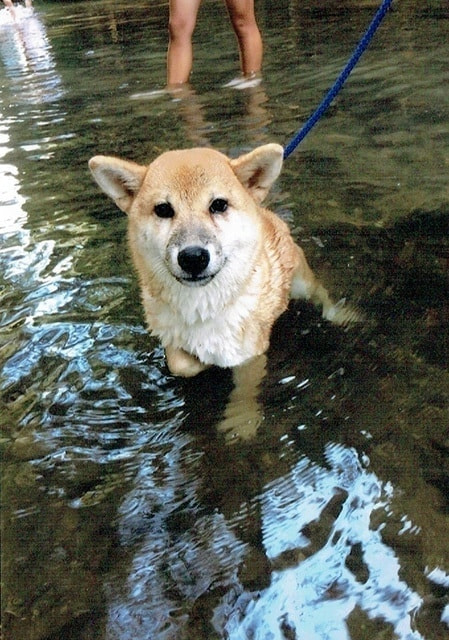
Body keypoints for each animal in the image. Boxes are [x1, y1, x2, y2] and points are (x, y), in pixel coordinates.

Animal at [89, 144, 356, 379]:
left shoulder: (249, 358)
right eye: (163, 209)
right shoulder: (171, 338)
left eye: (218, 205)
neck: (200, 308)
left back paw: (339, 314)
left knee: (320, 293)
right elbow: (181, 364)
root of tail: (265, 213)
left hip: (301, 283)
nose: (193, 257)